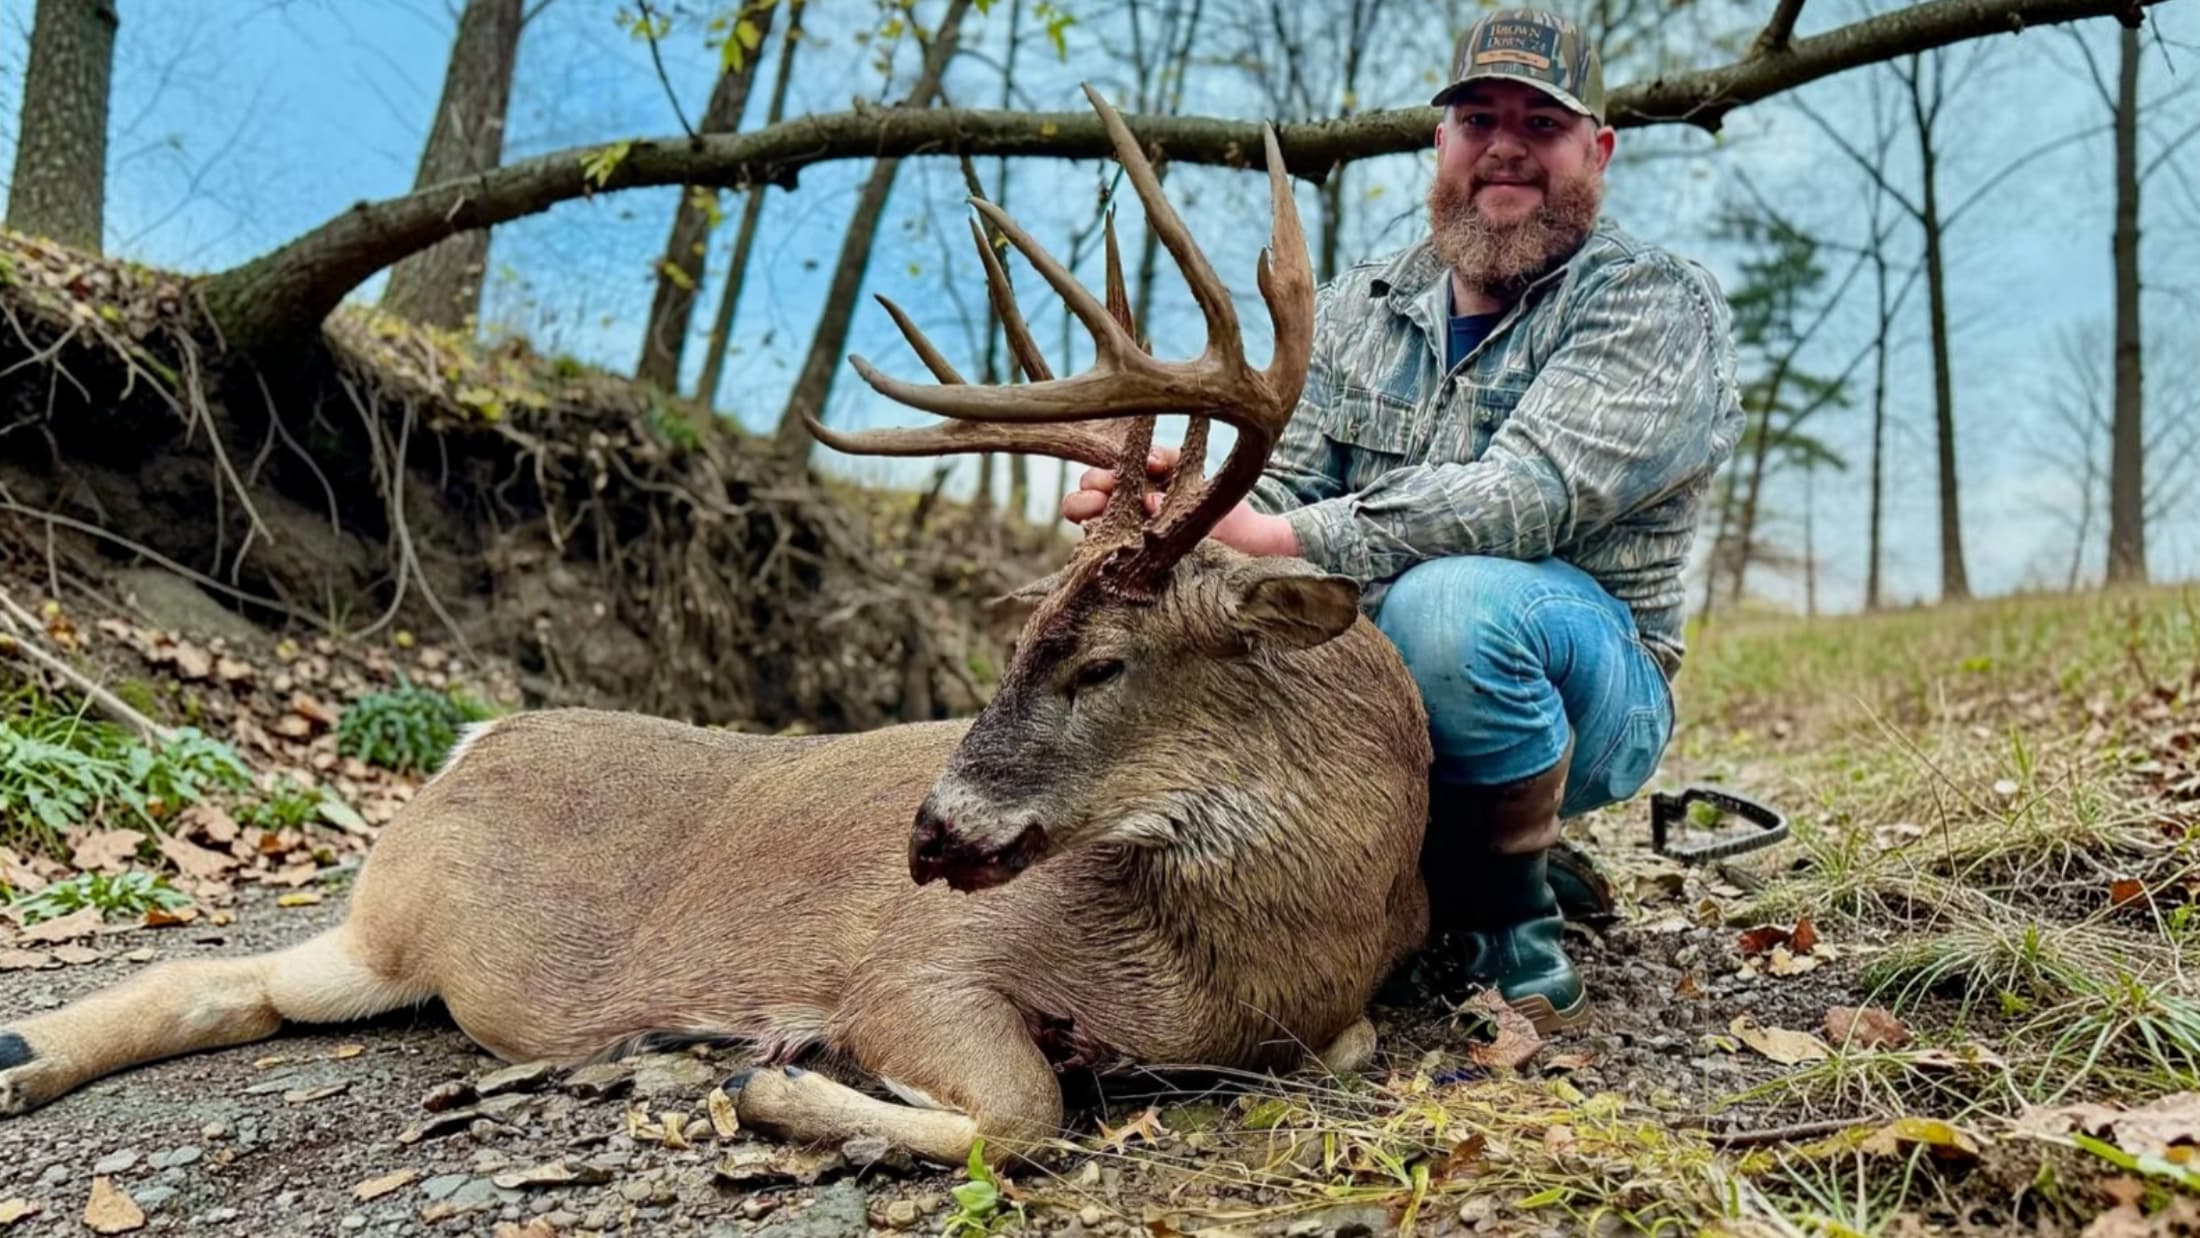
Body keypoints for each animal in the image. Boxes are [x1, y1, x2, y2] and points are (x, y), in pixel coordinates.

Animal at [0, 86, 1432, 1168]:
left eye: (1099, 659)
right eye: (1020, 639)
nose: (924, 834)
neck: (1249, 961)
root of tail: (474, 737)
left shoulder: (1325, 1018)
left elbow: (1338, 1049)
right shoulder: (920, 965)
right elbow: (1019, 1110)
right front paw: (776, 1076)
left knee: (232, 985)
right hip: (401, 915)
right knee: (223, 976)